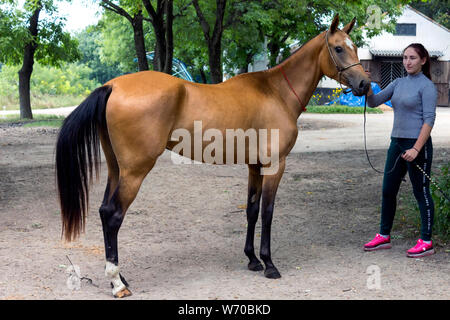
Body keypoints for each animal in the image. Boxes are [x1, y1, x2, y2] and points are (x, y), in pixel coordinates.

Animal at [55, 15, 370, 298]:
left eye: (355, 47)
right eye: (339, 48)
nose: (365, 85)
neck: (276, 92)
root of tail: (114, 86)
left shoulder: (254, 166)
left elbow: (251, 210)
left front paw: (252, 259)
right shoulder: (274, 165)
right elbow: (267, 212)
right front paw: (269, 264)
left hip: (116, 169)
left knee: (104, 210)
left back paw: (121, 276)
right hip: (134, 172)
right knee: (113, 215)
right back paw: (117, 283)